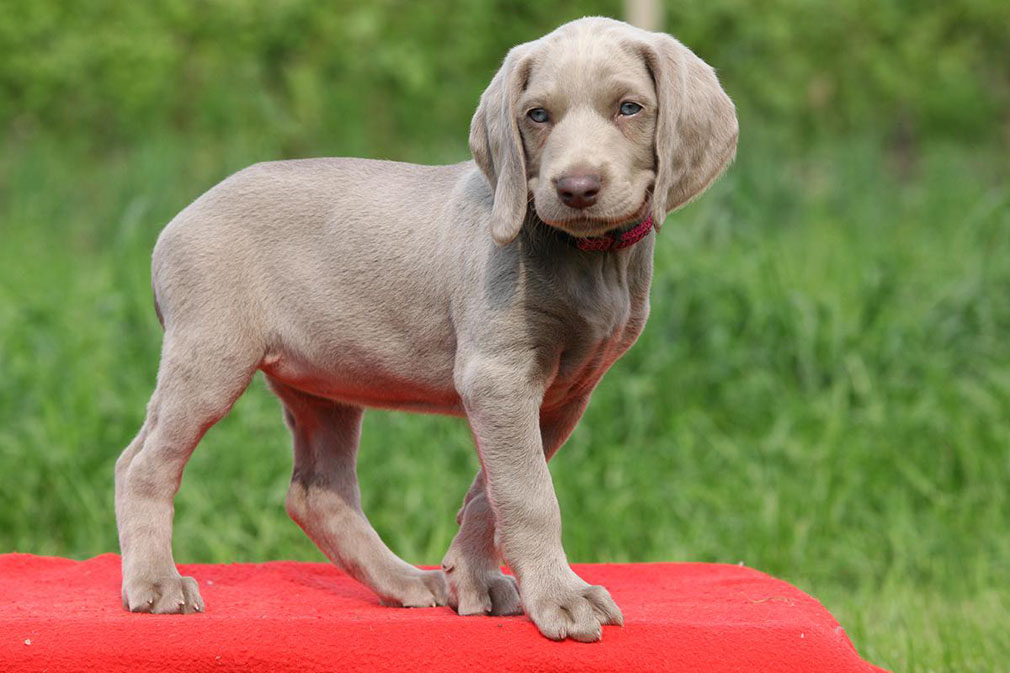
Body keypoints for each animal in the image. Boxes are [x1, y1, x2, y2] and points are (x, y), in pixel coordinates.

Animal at [114, 15, 739, 638]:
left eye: (630, 108)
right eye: (537, 115)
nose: (576, 189)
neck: (589, 258)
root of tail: (176, 221)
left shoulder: (563, 392)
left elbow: (492, 488)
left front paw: (472, 575)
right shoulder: (498, 376)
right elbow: (530, 493)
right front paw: (561, 597)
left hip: (325, 381)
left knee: (317, 494)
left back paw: (407, 582)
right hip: (209, 356)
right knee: (142, 464)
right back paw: (157, 581)